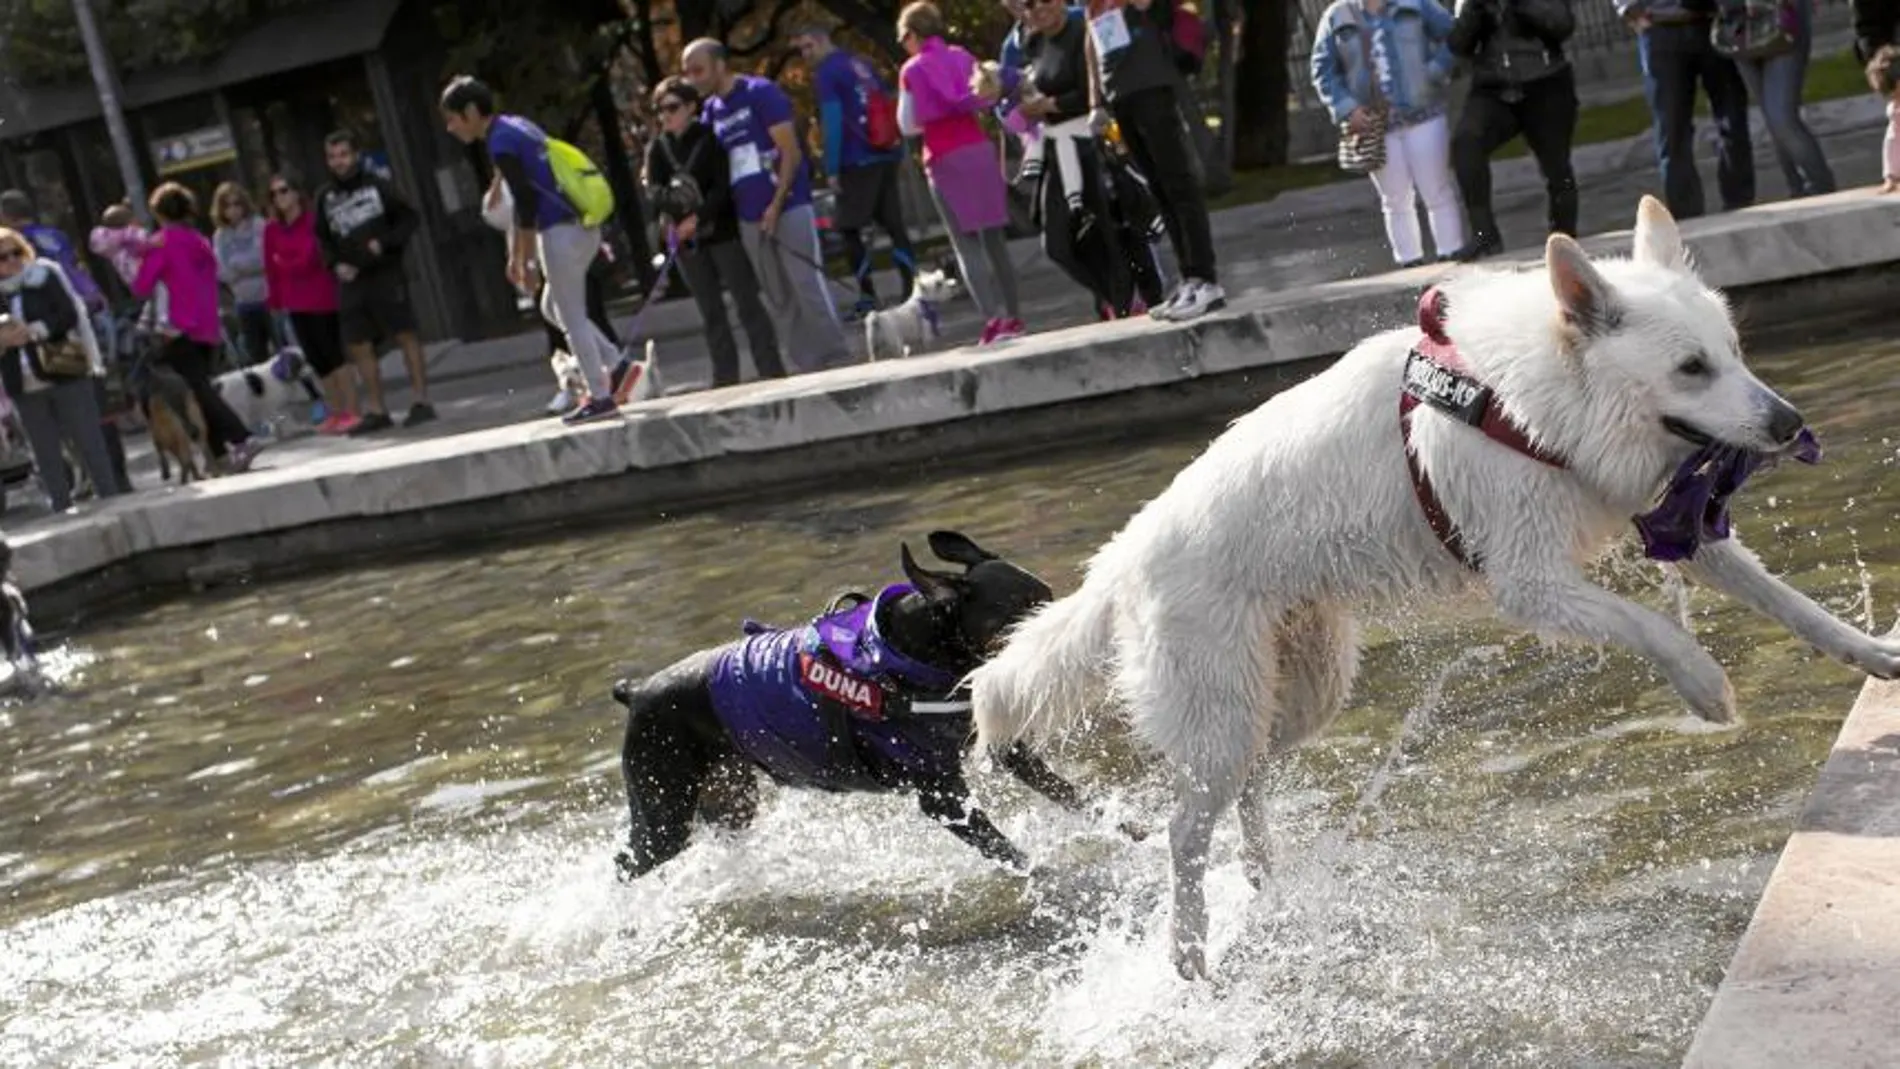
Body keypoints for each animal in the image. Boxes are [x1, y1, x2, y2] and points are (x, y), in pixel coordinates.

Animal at [972, 196, 1900, 979]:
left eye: (1735, 353)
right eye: (1691, 367)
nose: (1788, 423)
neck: (1536, 403)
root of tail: (1118, 560)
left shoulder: (1671, 530)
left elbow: (1793, 605)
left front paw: (1875, 653)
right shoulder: (1532, 583)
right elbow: (1654, 627)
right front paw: (1706, 687)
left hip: (1296, 691)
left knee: (1250, 783)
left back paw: (1264, 880)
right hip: (1221, 703)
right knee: (1180, 828)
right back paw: (1191, 953)